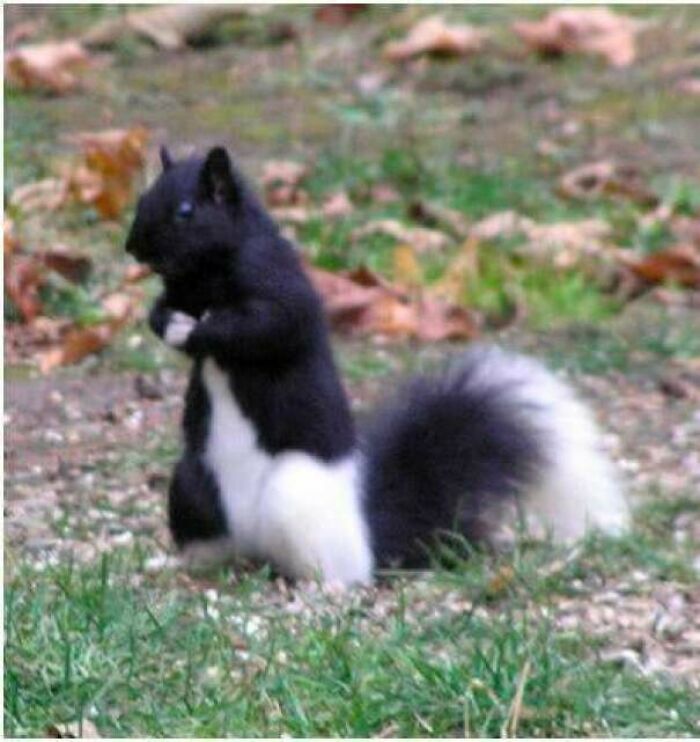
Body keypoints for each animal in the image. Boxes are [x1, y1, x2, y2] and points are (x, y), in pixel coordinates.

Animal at [125, 145, 630, 586]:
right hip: (191, 487)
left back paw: (323, 587)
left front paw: (197, 329)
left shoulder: (281, 288)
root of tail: (366, 537)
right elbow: (163, 312)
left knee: (341, 571)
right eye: (143, 197)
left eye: (186, 211)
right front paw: (168, 322)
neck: (203, 277)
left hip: (294, 496)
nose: (132, 247)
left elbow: (262, 327)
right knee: (215, 539)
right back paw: (184, 564)